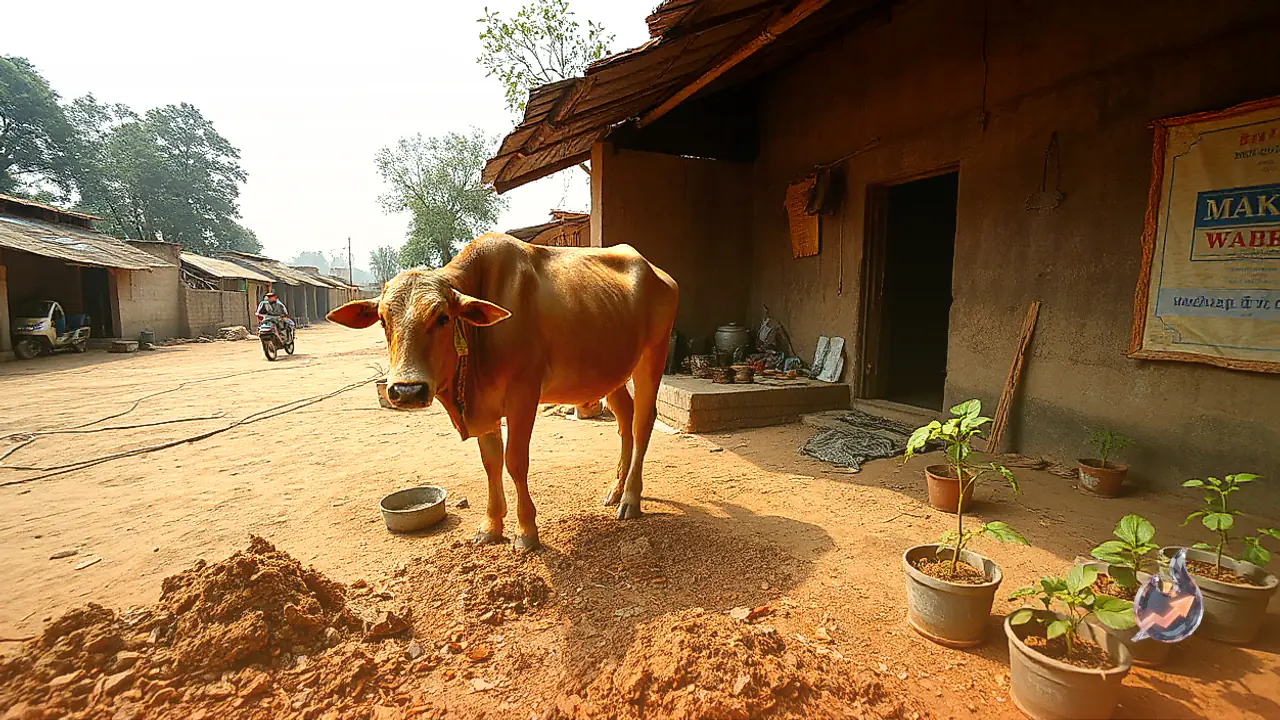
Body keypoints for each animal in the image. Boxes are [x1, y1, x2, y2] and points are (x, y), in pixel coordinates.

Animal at [328, 234, 679, 552]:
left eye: (442, 317)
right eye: (383, 320)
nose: (407, 389)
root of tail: (656, 270)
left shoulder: (524, 395)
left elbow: (515, 462)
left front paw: (526, 531)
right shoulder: (486, 404)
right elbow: (491, 462)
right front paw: (491, 526)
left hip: (653, 354)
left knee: (643, 421)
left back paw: (631, 498)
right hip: (613, 371)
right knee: (625, 418)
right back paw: (617, 489)